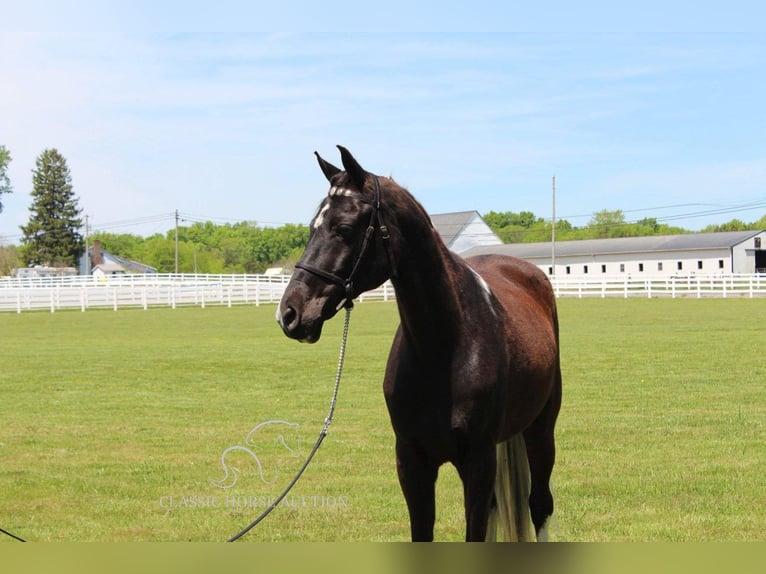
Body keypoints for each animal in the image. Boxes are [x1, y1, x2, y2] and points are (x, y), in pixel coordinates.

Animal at [280, 148, 560, 544]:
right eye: (311, 228)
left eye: (344, 229)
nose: (289, 313)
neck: (443, 349)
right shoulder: (412, 462)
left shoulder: (478, 461)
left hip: (540, 429)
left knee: (540, 505)